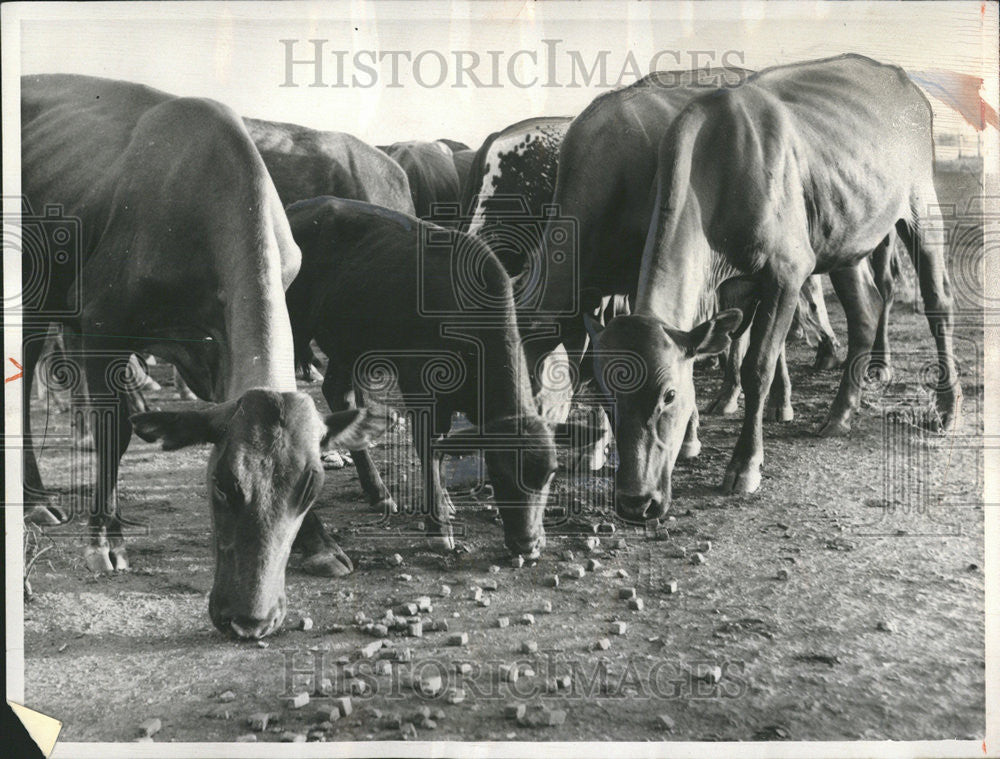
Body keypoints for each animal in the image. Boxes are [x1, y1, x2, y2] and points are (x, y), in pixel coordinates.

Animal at [24, 74, 382, 640]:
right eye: (220, 484)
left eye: (311, 487)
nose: (250, 620)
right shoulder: (101, 324)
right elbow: (113, 432)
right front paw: (105, 537)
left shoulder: (217, 353)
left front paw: (321, 543)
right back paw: (37, 501)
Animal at [282, 197, 592, 560]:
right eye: (498, 472)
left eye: (550, 473)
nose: (527, 545)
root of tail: (298, 208)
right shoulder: (420, 389)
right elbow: (429, 450)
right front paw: (439, 526)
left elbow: (441, 451)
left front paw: (444, 502)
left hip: (348, 345)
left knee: (338, 392)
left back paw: (378, 492)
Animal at [584, 55, 960, 524]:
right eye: (603, 392)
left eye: (669, 394)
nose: (636, 502)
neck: (713, 174)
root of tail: (897, 75)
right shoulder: (734, 287)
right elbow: (734, 346)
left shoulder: (787, 272)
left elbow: (757, 366)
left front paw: (745, 466)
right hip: (844, 239)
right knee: (865, 312)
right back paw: (840, 414)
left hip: (920, 206)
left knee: (938, 303)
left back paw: (946, 409)